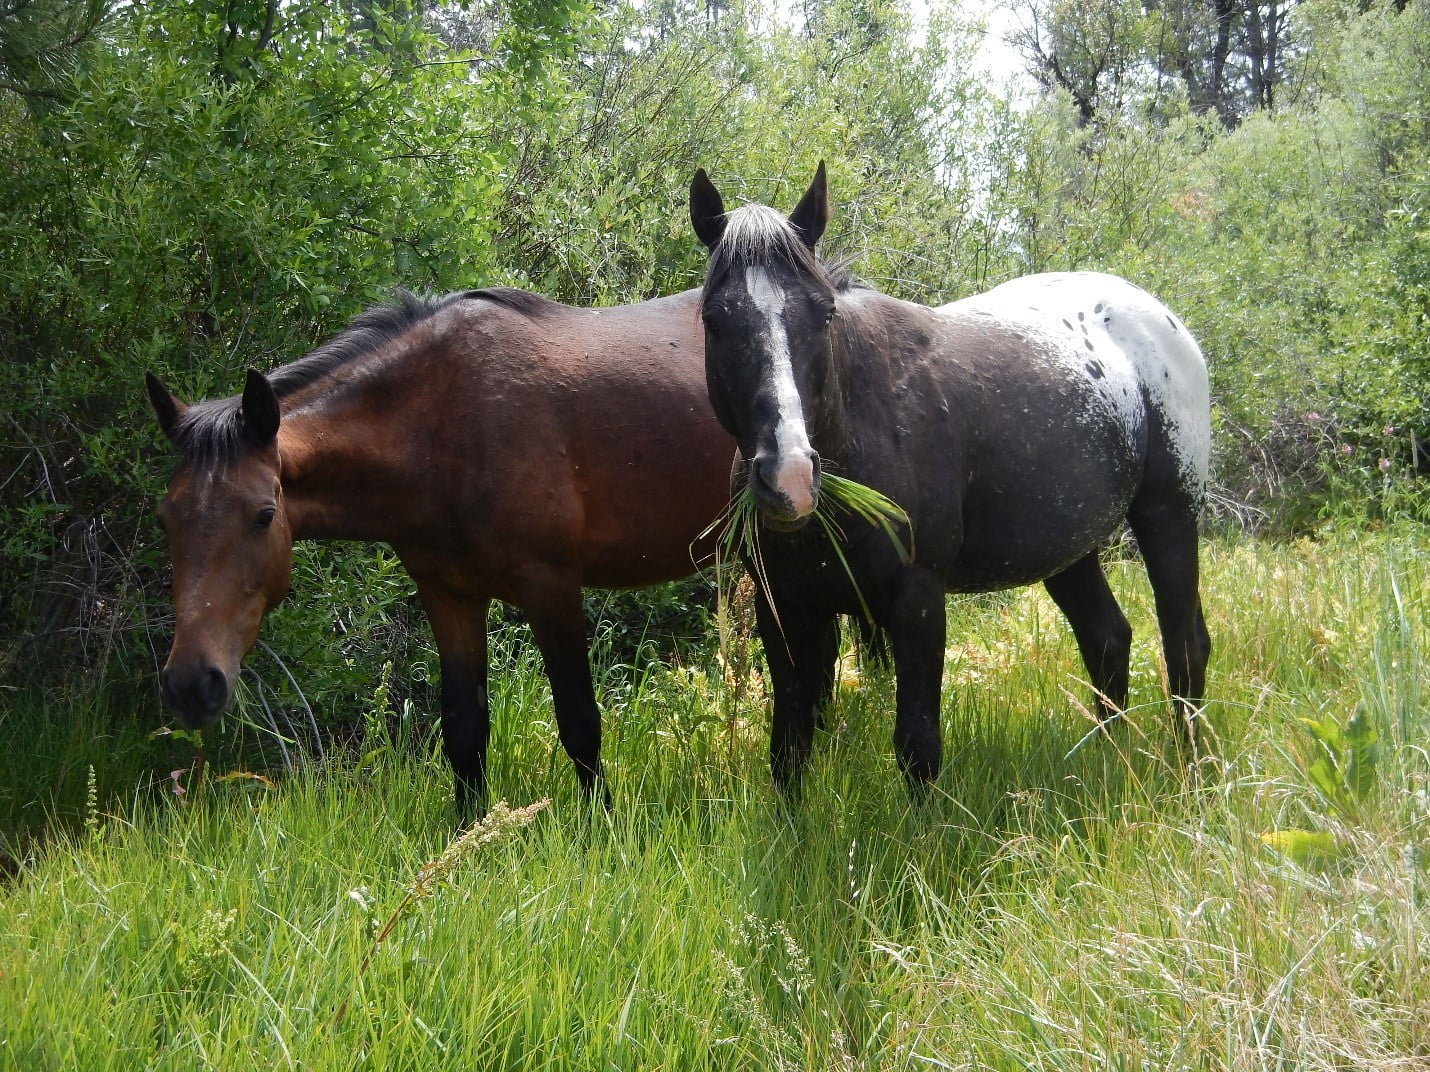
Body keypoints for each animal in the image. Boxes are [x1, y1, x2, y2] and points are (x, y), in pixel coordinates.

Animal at [148, 285, 737, 811]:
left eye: (264, 515)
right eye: (165, 519)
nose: (190, 685)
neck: (442, 425)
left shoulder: (552, 589)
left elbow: (579, 722)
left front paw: (600, 829)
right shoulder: (448, 595)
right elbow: (463, 728)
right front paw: (469, 834)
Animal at [689, 163, 1206, 794]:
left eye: (823, 313)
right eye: (715, 319)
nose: (789, 477)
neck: (862, 424)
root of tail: (1157, 318)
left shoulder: (918, 602)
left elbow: (917, 745)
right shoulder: (784, 608)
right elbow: (790, 745)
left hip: (1169, 513)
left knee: (1185, 645)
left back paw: (1193, 773)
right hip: (1067, 548)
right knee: (1107, 639)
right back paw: (1111, 759)